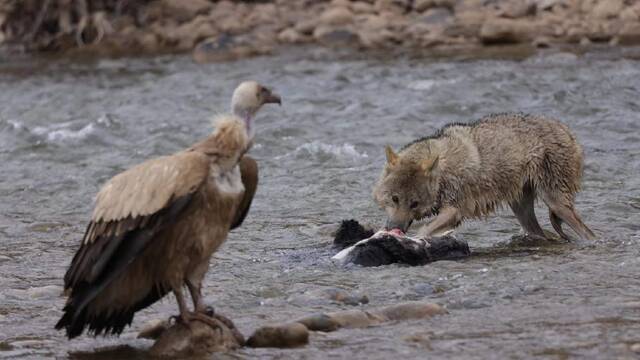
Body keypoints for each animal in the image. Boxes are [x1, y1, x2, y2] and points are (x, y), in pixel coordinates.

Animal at [372, 112, 596, 240]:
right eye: (395, 199)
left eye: (414, 204)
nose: (393, 229)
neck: (444, 172)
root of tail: (567, 131)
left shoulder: (454, 211)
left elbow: (424, 230)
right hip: (522, 210)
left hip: (556, 204)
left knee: (587, 233)